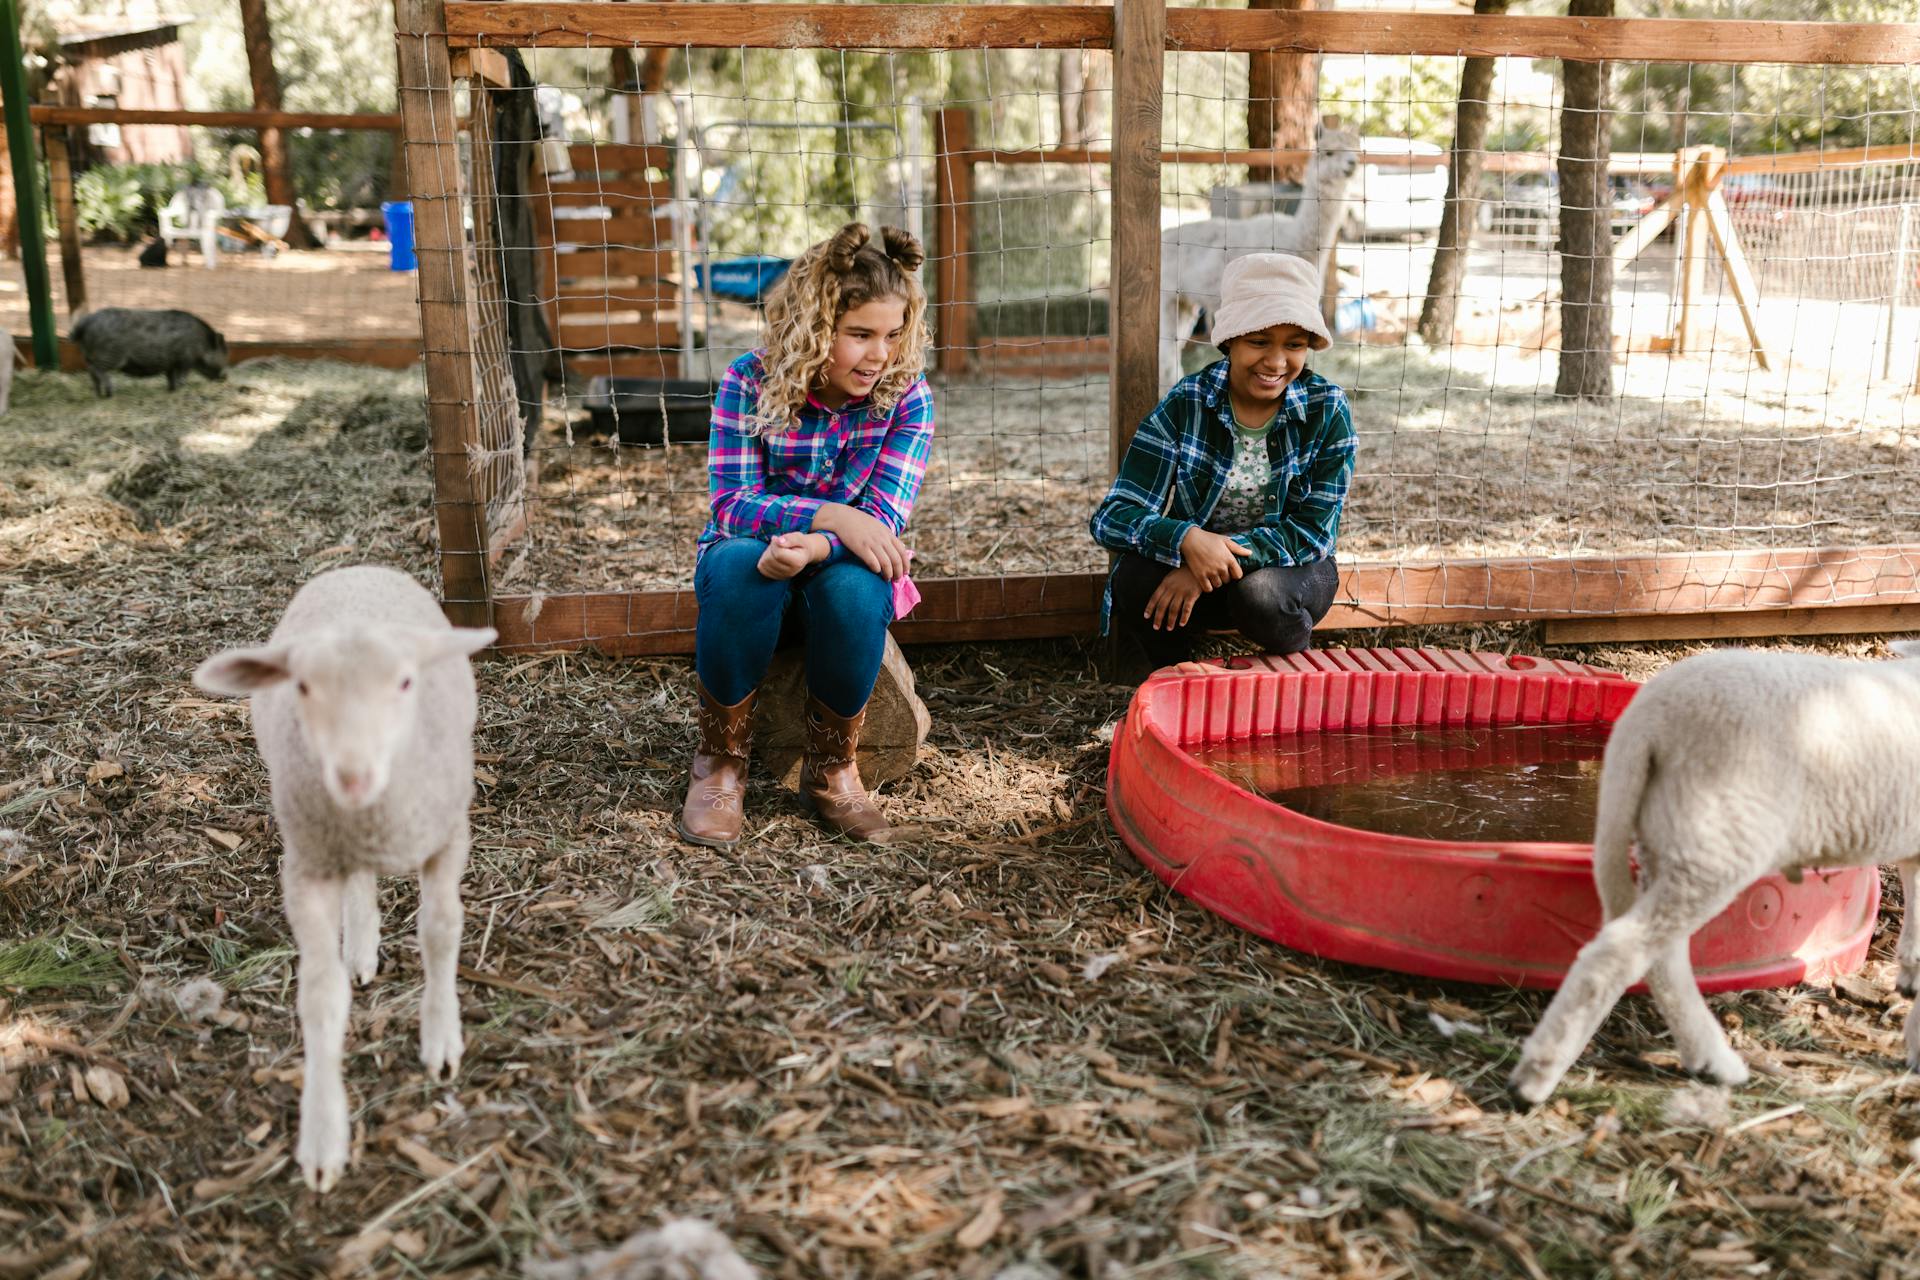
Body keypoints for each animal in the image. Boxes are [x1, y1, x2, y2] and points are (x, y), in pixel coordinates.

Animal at [192, 568, 495, 1189]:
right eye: (304, 687)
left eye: (405, 682)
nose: (353, 777)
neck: (371, 817)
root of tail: (357, 568)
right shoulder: (307, 868)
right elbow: (319, 995)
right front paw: (323, 1135)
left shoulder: (447, 838)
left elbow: (440, 933)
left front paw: (441, 1037)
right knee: (358, 883)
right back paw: (359, 947)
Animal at [1152, 128, 1367, 395]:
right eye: (1328, 152)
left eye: (1357, 151)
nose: (1351, 164)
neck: (1293, 240)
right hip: (1166, 296)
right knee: (1165, 354)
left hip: (1184, 304)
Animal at [1505, 644, 1920, 1105]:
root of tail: (1647, 720)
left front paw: (1911, 982)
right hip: (1717, 840)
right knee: (1619, 950)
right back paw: (1535, 1077)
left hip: (1669, 840)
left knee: (1662, 956)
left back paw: (1710, 1060)